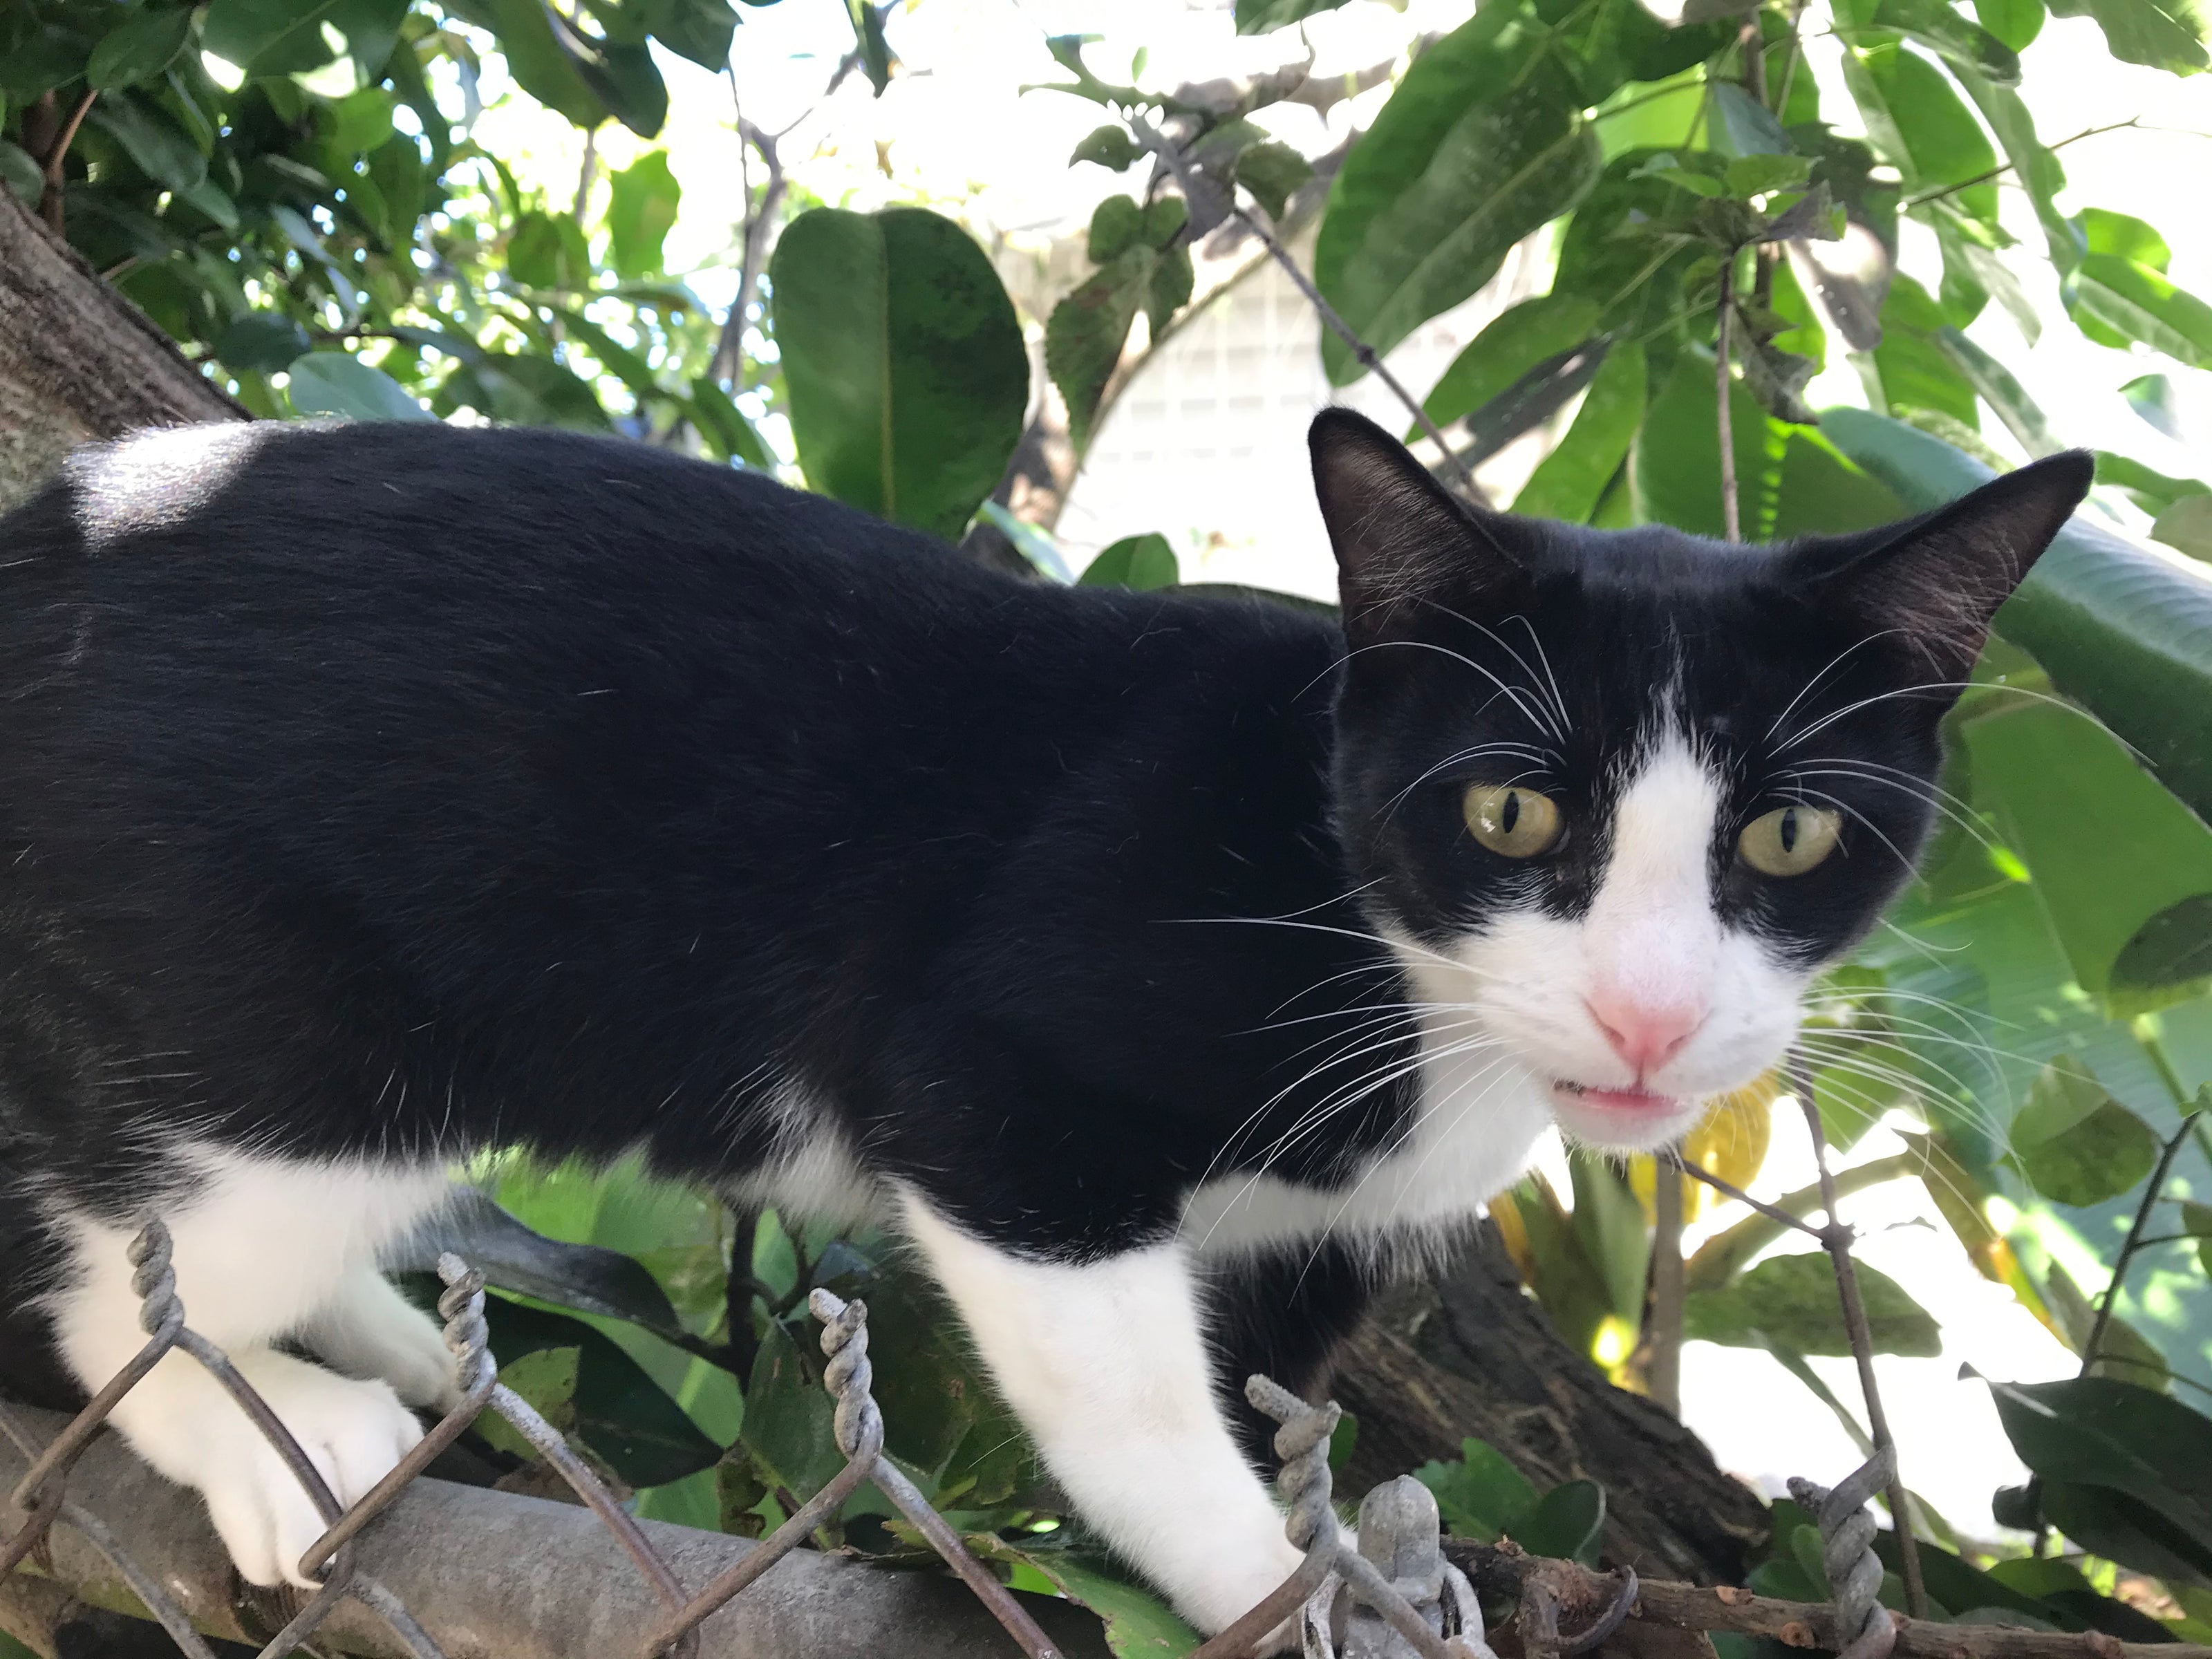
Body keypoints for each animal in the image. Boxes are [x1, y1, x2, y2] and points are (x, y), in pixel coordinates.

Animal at [0, 413, 2070, 1637]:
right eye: (1509, 812)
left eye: (1789, 836)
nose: (1650, 1013)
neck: (1356, 923)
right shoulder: (1000, 1069)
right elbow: (1131, 1392)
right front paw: (1268, 1583)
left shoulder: (1322, 1238)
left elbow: (1283, 1375)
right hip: (291, 1018)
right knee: (125, 1285)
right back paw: (272, 1412)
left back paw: (390, 1353)